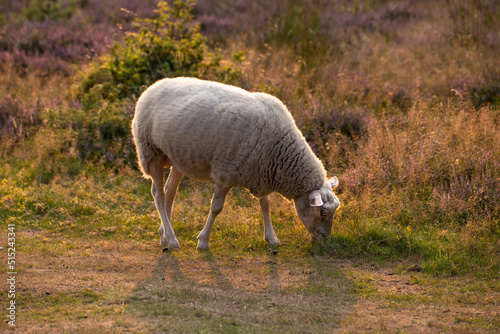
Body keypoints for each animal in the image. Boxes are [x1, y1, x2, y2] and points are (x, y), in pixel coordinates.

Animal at [131, 77, 340, 250]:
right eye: (323, 212)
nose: (325, 240)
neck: (280, 152)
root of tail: (152, 86)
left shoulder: (261, 172)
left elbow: (266, 204)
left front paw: (272, 238)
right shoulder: (225, 173)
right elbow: (216, 208)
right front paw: (203, 241)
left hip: (177, 158)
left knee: (169, 192)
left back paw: (164, 235)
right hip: (151, 152)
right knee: (158, 194)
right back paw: (172, 240)